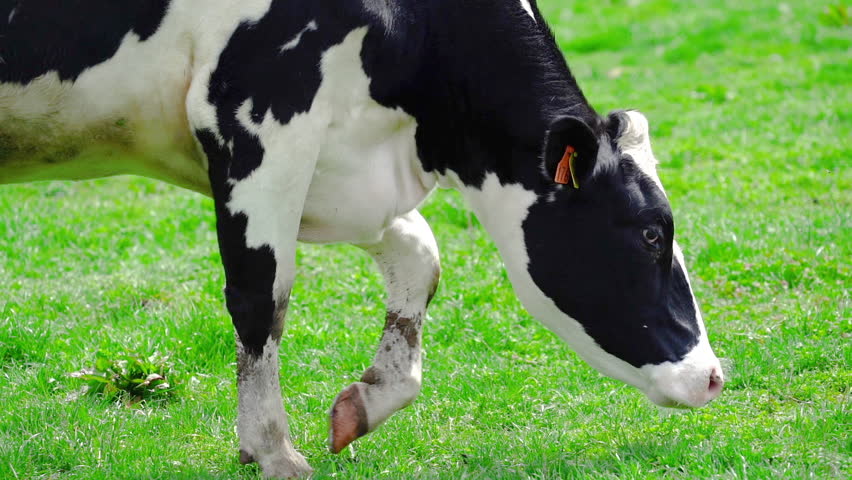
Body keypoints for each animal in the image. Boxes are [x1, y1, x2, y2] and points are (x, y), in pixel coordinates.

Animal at [0, 0, 725, 478]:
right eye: (652, 234)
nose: (714, 378)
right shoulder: (259, 113)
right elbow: (261, 297)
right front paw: (272, 450)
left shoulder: (346, 172)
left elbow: (420, 260)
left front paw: (367, 401)